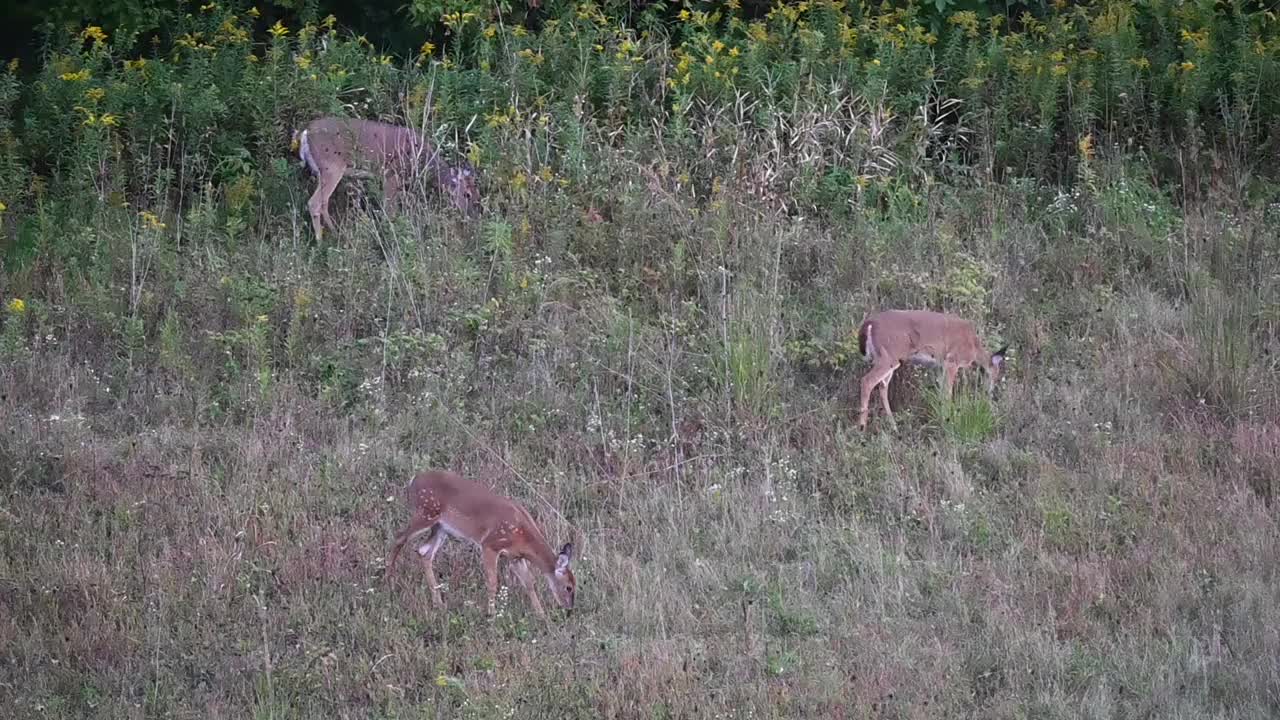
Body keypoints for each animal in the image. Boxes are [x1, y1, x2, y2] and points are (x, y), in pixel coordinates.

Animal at [294, 116, 481, 239]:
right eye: (467, 194)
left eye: (479, 195)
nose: (474, 216)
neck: (422, 158)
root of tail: (305, 132)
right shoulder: (391, 174)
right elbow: (390, 211)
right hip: (331, 167)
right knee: (314, 203)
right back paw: (321, 244)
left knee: (323, 202)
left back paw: (336, 233)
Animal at [381, 466, 578, 617]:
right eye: (569, 587)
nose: (569, 609)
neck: (523, 537)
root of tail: (413, 480)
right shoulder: (490, 544)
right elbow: (493, 582)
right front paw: (492, 614)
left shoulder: (515, 556)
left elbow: (529, 583)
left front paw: (541, 615)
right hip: (425, 512)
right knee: (399, 537)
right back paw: (388, 583)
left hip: (441, 527)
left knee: (424, 552)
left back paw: (439, 604)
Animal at [855, 307, 1003, 427]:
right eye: (995, 375)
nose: (990, 393)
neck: (974, 346)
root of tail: (869, 324)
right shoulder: (951, 361)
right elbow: (947, 393)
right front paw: (948, 421)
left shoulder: (938, 367)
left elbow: (941, 392)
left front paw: (942, 417)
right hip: (888, 356)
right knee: (867, 381)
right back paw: (862, 428)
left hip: (885, 358)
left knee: (882, 386)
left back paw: (894, 426)